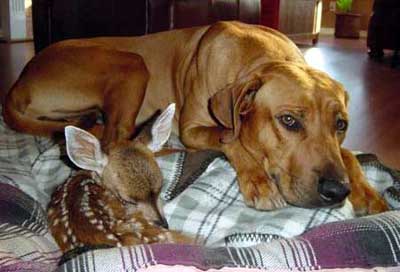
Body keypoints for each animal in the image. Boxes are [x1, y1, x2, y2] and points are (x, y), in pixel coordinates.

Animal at [2, 21, 388, 215]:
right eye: (290, 121)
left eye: (341, 125)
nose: (337, 191)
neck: (259, 56)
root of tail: (19, 81)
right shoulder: (192, 128)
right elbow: (232, 138)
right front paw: (258, 180)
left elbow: (348, 153)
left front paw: (367, 193)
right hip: (131, 64)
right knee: (117, 138)